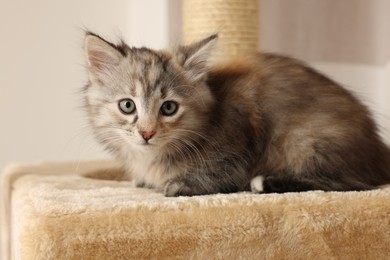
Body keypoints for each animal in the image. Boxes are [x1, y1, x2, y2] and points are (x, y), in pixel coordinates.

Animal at [83, 32, 390, 196]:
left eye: (168, 107)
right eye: (127, 105)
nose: (147, 132)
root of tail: (378, 149)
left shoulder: (238, 148)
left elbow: (215, 176)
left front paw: (176, 184)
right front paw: (143, 179)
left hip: (303, 139)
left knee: (351, 184)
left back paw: (264, 182)